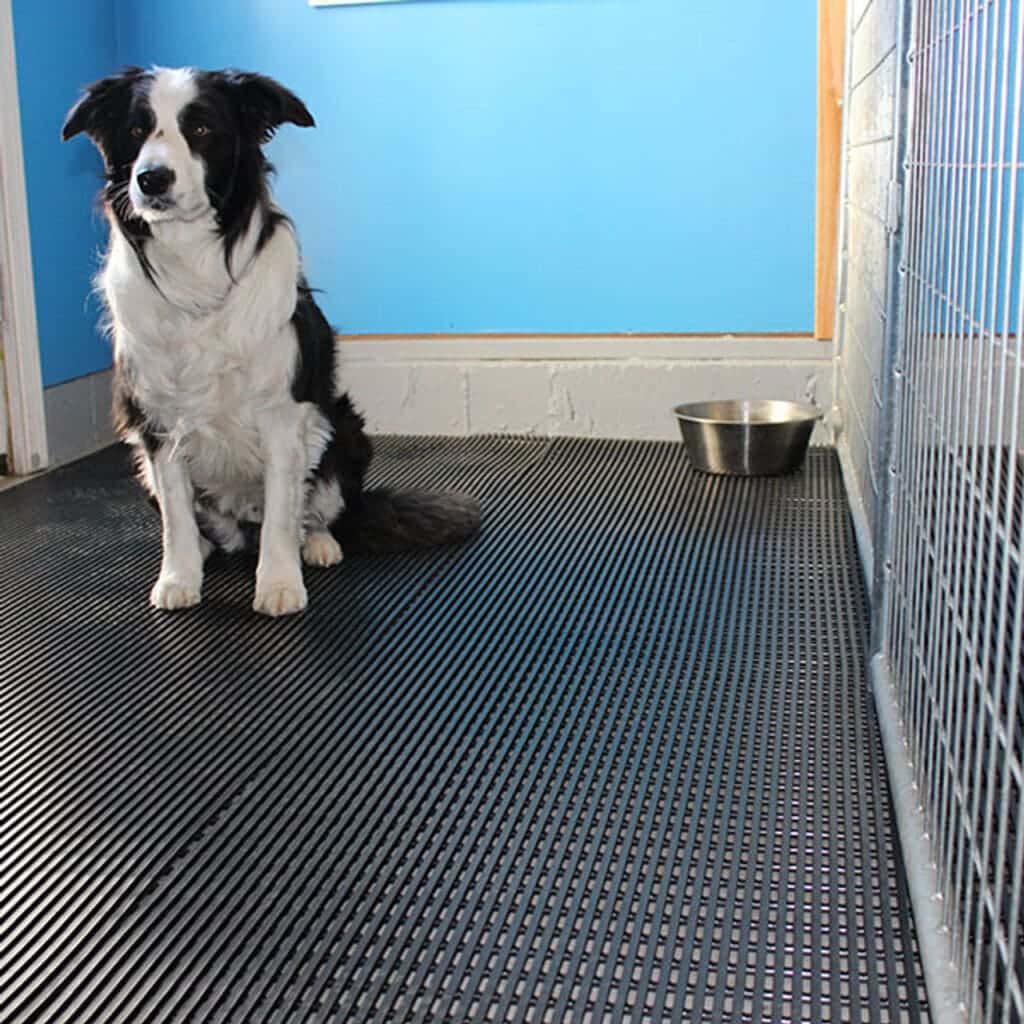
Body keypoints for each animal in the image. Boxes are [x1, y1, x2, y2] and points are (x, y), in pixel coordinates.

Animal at [64, 70, 479, 614]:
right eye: (136, 131)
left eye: (201, 129)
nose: (152, 178)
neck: (194, 267)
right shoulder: (155, 423)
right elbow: (176, 516)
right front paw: (179, 578)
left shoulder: (283, 415)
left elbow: (283, 512)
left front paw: (279, 583)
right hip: (143, 462)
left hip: (342, 428)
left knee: (315, 511)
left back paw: (320, 543)